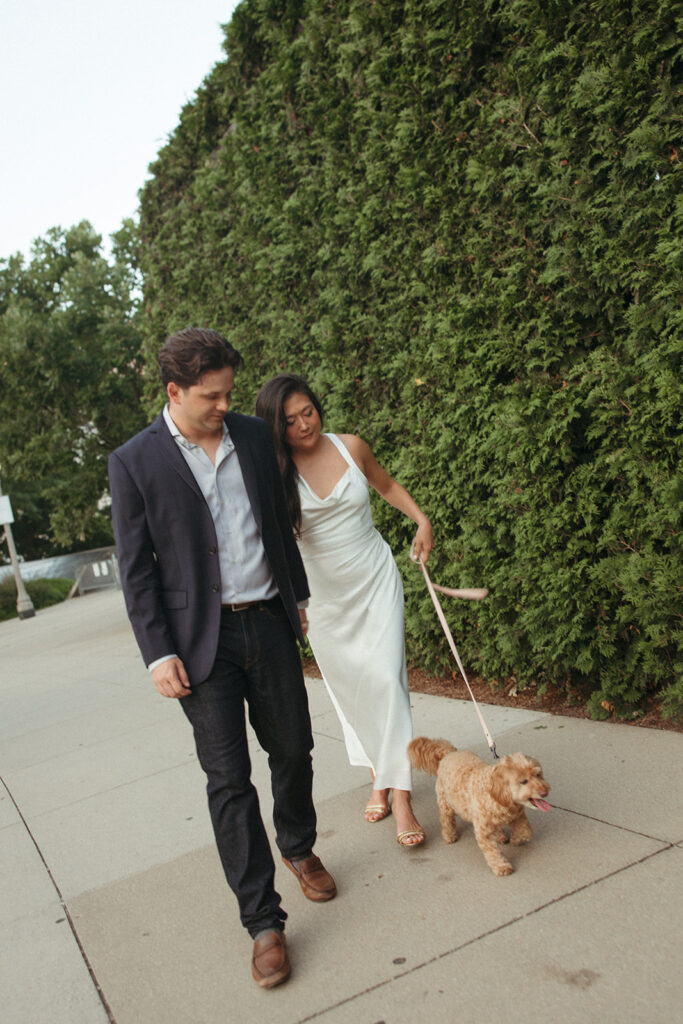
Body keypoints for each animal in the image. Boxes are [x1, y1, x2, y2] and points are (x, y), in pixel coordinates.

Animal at [409, 741, 552, 876]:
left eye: (538, 774)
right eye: (523, 781)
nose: (544, 792)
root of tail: (448, 753)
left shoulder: (517, 816)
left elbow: (526, 832)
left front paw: (516, 840)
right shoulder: (483, 831)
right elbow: (492, 851)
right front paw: (501, 866)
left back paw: (500, 836)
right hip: (445, 803)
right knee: (446, 820)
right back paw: (449, 836)